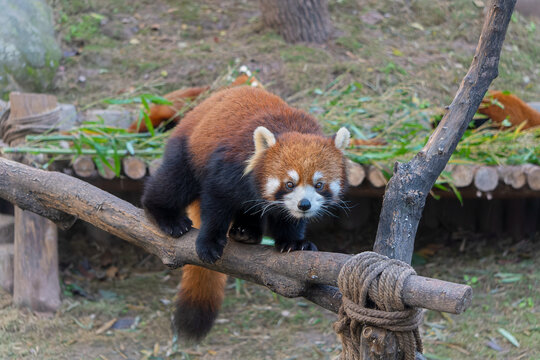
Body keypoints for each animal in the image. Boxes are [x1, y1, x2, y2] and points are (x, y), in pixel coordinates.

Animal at [141, 86, 350, 340]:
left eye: (319, 184)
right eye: (289, 184)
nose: (304, 204)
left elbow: (287, 219)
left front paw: (294, 242)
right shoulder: (229, 166)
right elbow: (216, 203)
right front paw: (209, 242)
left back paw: (246, 232)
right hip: (188, 147)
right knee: (174, 181)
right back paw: (165, 215)